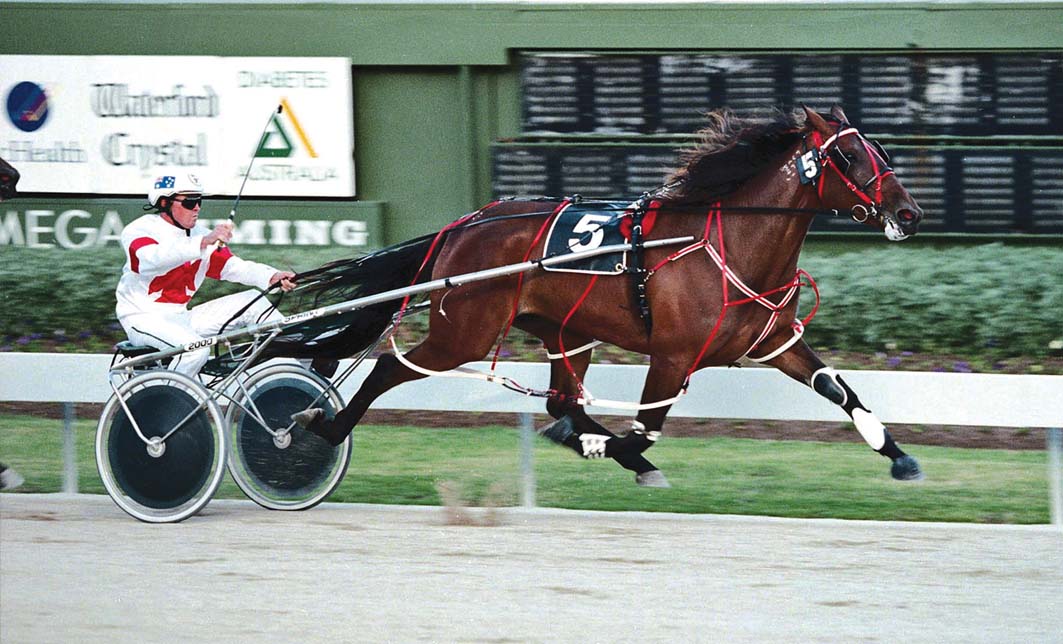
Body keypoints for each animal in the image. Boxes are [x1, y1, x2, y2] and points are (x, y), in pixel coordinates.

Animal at [289, 105, 925, 487]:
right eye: (848, 156)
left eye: (881, 150)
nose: (909, 213)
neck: (731, 245)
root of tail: (466, 224)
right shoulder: (672, 354)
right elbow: (647, 426)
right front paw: (621, 452)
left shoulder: (774, 342)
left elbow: (839, 390)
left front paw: (898, 455)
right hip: (463, 331)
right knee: (388, 369)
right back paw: (323, 428)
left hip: (567, 333)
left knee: (561, 402)